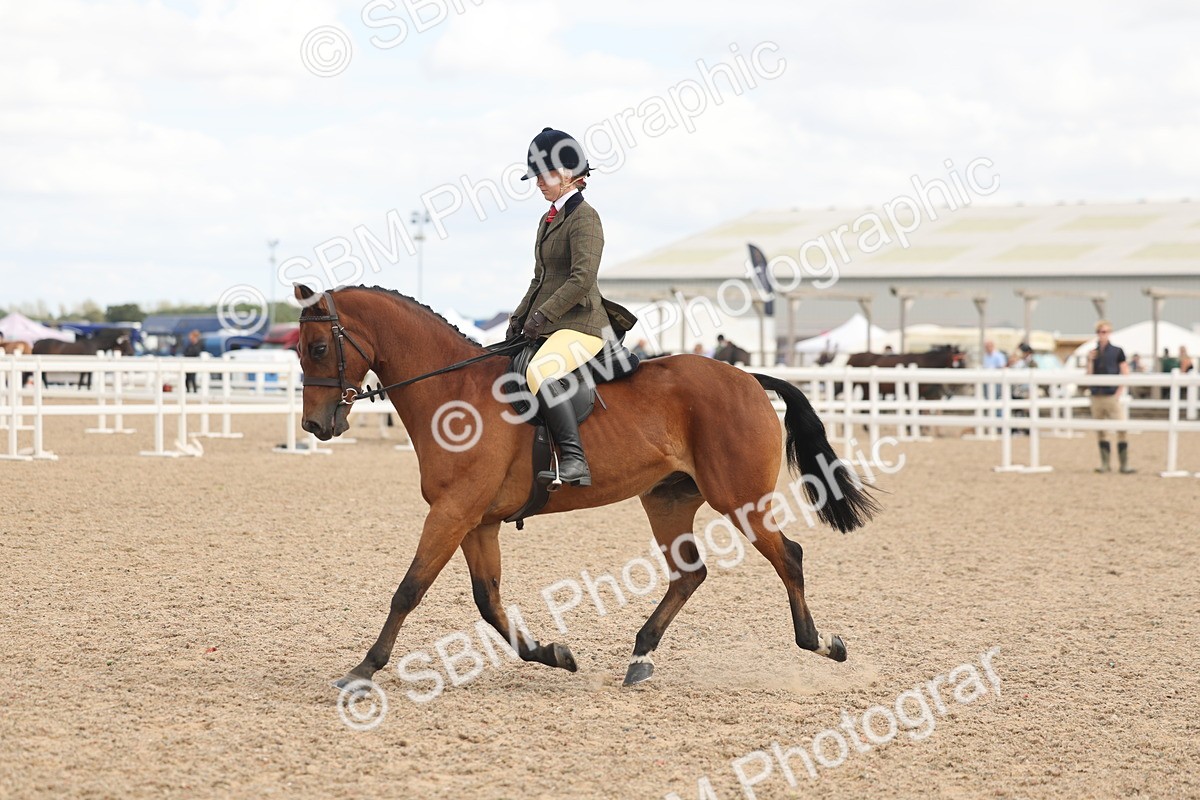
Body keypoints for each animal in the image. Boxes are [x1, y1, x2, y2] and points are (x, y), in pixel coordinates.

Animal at [293, 284, 878, 691]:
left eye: (319, 347)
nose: (316, 426)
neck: (454, 390)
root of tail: (749, 378)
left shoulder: (453, 511)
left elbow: (409, 589)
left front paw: (363, 669)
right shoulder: (476, 521)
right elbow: (488, 602)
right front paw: (554, 654)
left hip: (740, 500)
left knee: (790, 556)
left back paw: (823, 643)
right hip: (667, 500)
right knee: (689, 573)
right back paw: (640, 657)